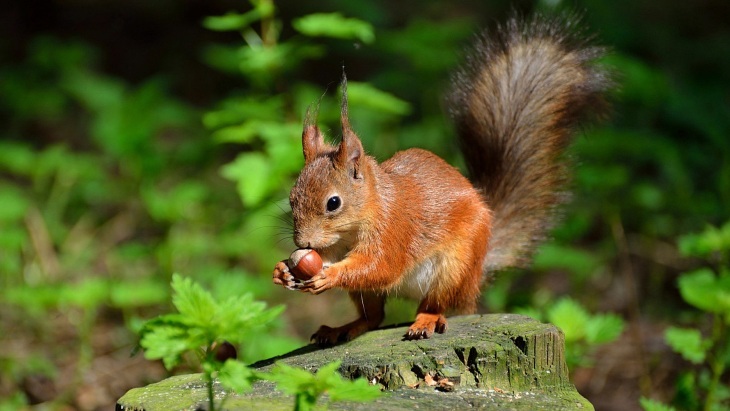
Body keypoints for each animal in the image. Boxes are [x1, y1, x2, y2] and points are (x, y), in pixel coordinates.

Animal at [272, 15, 610, 345]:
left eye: (333, 203)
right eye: (292, 198)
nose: (302, 243)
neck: (360, 219)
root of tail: (477, 272)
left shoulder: (394, 231)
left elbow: (379, 266)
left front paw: (327, 275)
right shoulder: (337, 245)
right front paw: (283, 271)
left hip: (454, 267)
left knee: (436, 303)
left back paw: (427, 320)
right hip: (376, 293)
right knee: (374, 317)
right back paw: (343, 328)